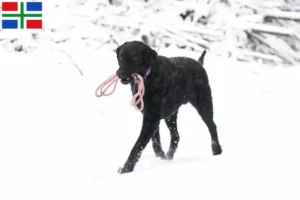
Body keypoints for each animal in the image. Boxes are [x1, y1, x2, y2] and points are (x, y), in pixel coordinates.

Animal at [116, 40, 221, 173]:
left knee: (212, 126)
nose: (119, 73)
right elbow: (155, 140)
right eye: (121, 58)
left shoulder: (152, 118)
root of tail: (198, 63)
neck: (149, 78)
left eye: (135, 57)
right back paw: (169, 156)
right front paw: (160, 155)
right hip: (170, 114)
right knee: (176, 136)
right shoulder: (151, 116)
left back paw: (217, 150)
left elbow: (138, 145)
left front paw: (126, 168)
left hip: (204, 105)